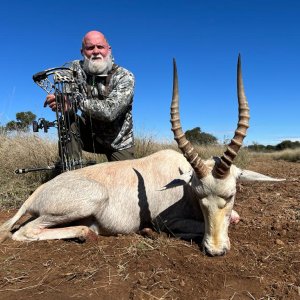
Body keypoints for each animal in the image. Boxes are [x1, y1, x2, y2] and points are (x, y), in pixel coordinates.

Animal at [0, 55, 284, 255]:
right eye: (198, 195)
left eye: (232, 194)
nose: (215, 250)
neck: (181, 181)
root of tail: (38, 192)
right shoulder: (167, 220)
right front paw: (150, 231)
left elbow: (234, 217)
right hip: (87, 200)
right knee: (23, 231)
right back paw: (84, 233)